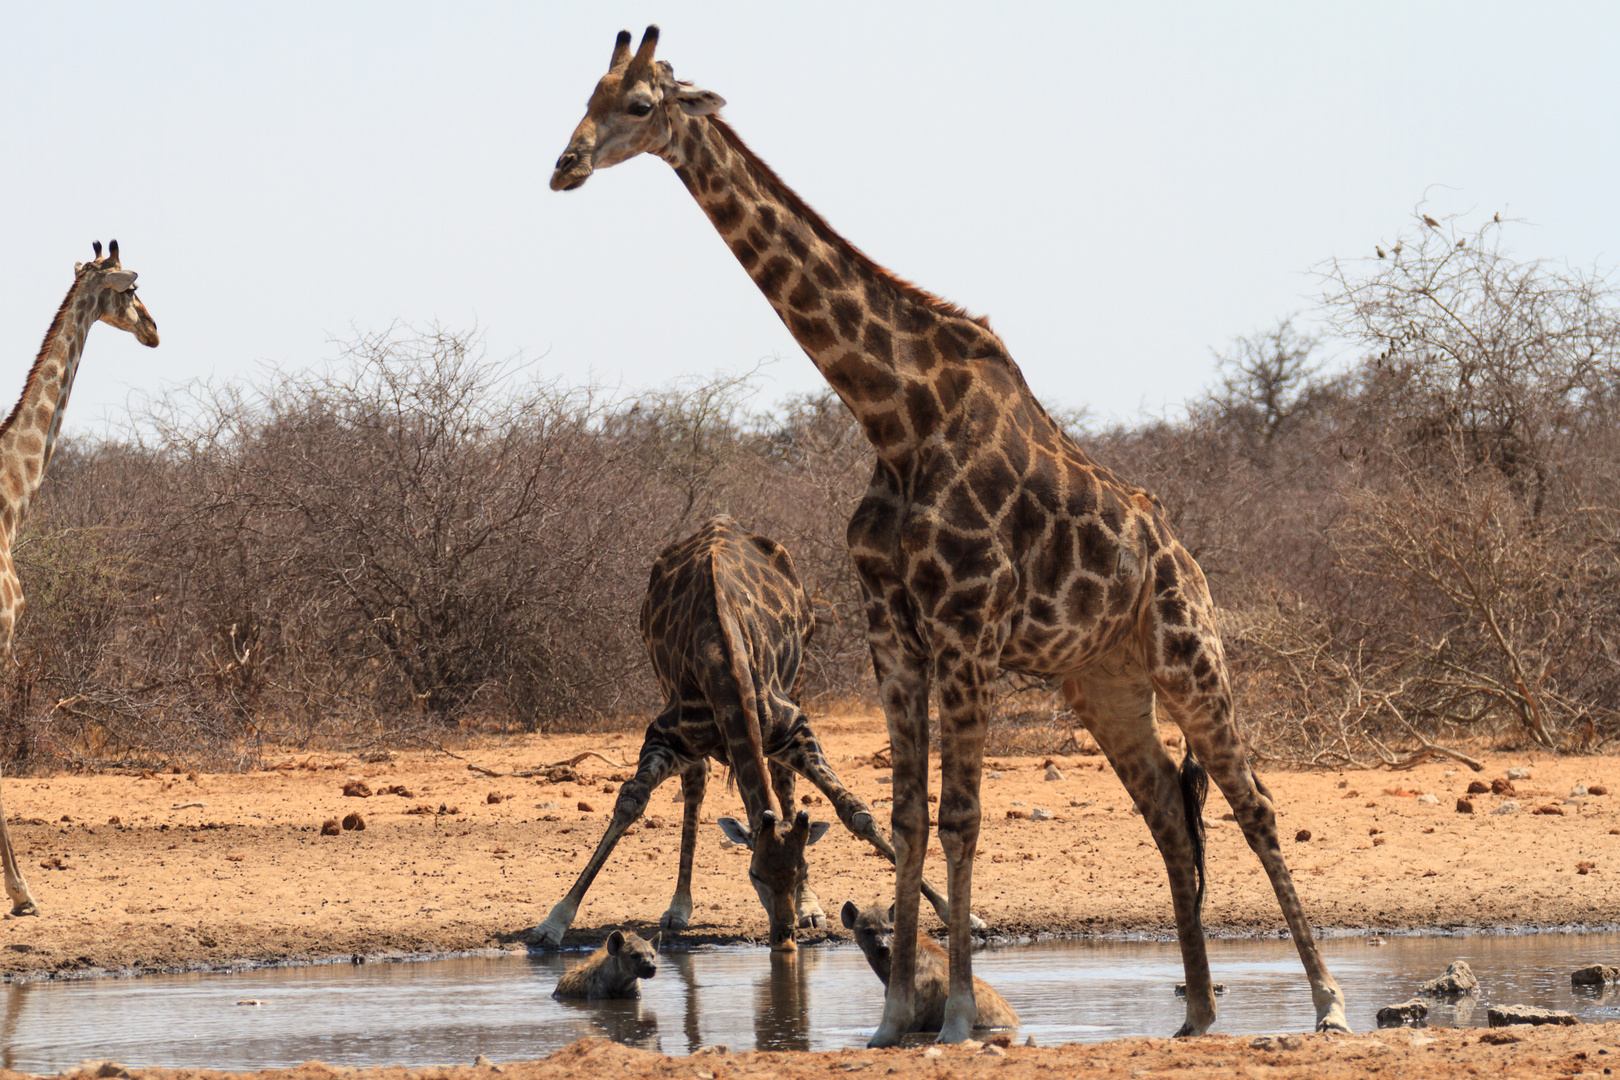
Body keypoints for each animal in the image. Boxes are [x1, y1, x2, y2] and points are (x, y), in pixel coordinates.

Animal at [534, 518, 959, 952]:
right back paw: (678, 907)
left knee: (782, 781)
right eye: (754, 874)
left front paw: (955, 912)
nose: (784, 935)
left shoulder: (795, 729)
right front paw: (555, 921)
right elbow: (629, 803)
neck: (722, 657)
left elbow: (854, 811)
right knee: (696, 783)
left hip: (799, 675)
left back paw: (809, 909)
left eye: (801, 868)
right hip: (669, 691)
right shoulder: (665, 737)